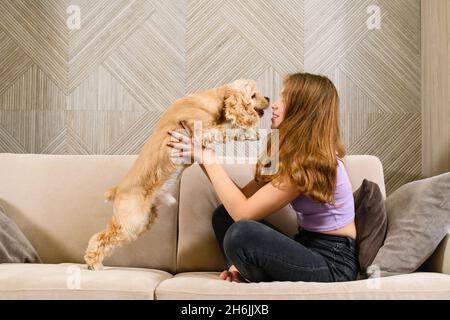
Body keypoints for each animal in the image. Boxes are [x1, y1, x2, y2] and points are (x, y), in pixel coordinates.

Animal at [83, 80, 268, 270]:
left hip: (142, 222)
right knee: (100, 238)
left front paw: (251, 133)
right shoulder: (203, 132)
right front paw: (248, 131)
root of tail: (117, 189)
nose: (268, 98)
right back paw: (94, 264)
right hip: (131, 223)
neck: (213, 100)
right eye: (254, 95)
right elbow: (227, 129)